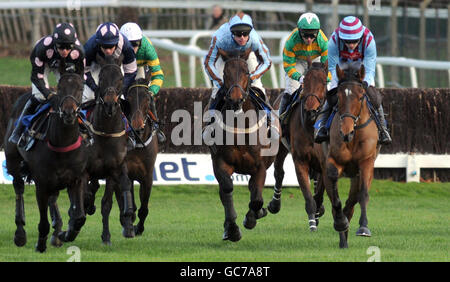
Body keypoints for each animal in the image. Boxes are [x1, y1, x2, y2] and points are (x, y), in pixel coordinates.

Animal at [3, 66, 88, 253]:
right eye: (60, 88)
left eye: (80, 88)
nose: (69, 112)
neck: (62, 144)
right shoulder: (41, 183)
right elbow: (43, 223)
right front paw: (40, 244)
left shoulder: (77, 179)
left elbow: (79, 217)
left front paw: (65, 233)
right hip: (13, 162)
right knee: (18, 188)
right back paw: (20, 233)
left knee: (53, 197)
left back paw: (57, 231)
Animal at [83, 55, 134, 245]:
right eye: (101, 77)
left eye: (120, 78)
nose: (111, 105)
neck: (106, 131)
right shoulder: (85, 169)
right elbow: (85, 193)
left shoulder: (113, 169)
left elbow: (107, 203)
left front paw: (106, 236)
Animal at [204, 51, 278, 241]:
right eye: (225, 73)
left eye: (246, 72)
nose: (236, 99)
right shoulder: (221, 162)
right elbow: (227, 189)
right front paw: (232, 229)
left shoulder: (260, 166)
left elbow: (257, 199)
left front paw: (252, 218)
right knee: (225, 191)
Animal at [268, 60, 326, 230]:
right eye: (305, 82)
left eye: (323, 82)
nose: (311, 110)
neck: (310, 126)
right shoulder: (300, 160)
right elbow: (308, 195)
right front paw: (312, 222)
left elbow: (319, 191)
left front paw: (318, 212)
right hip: (280, 146)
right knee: (279, 172)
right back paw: (274, 204)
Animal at [320, 62, 380, 248]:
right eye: (338, 97)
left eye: (361, 97)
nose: (346, 132)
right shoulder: (332, 161)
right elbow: (336, 199)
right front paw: (341, 223)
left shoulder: (366, 162)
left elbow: (363, 194)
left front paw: (363, 227)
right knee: (337, 204)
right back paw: (342, 235)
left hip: (356, 175)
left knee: (351, 203)